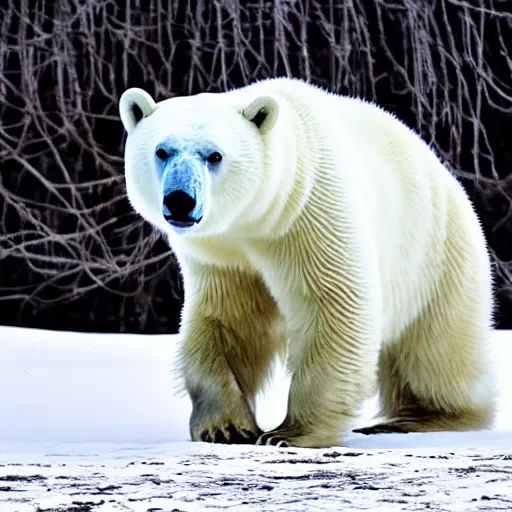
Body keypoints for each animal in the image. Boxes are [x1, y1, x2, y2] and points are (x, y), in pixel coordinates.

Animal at [118, 77, 494, 448]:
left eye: (214, 155)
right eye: (161, 151)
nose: (180, 200)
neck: (258, 218)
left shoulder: (308, 214)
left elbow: (333, 306)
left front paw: (287, 434)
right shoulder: (222, 255)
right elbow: (225, 323)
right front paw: (226, 428)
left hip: (437, 254)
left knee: (437, 349)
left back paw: (420, 417)